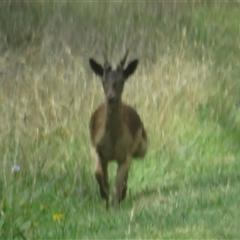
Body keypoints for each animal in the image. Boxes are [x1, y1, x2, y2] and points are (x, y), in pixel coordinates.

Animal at [89, 50, 147, 210]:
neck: (113, 138)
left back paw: (122, 195)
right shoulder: (96, 148)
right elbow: (98, 174)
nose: (111, 98)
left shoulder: (125, 155)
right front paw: (105, 200)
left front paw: (115, 208)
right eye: (103, 81)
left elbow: (117, 183)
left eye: (122, 81)